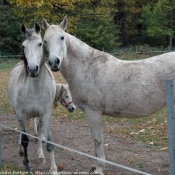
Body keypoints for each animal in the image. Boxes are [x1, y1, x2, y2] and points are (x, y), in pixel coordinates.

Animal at [6, 22, 57, 173]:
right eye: (23, 46)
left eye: (40, 43)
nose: (33, 69)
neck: (35, 88)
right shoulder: (21, 115)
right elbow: (25, 140)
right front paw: (27, 166)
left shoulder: (46, 114)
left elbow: (49, 142)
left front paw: (54, 169)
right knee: (22, 134)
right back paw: (20, 150)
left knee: (39, 132)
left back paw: (40, 155)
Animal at [42, 16, 175, 175]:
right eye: (45, 40)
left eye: (62, 37)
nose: (54, 62)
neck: (85, 67)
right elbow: (94, 140)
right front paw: (94, 166)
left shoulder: (93, 112)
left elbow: (97, 139)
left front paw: (99, 168)